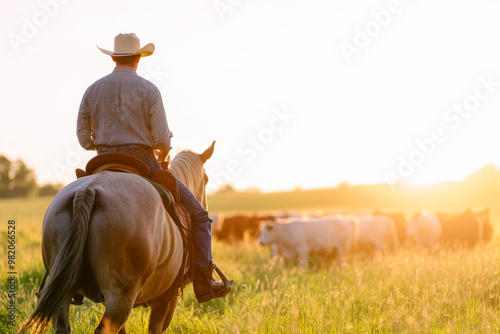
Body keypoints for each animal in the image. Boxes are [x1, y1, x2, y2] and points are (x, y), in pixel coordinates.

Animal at [21, 142, 215, 334]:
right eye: (206, 179)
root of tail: (88, 190)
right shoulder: (166, 297)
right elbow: (155, 328)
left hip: (65, 293)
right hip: (122, 295)